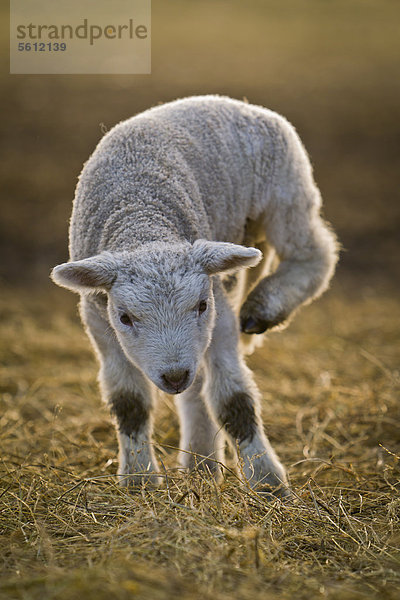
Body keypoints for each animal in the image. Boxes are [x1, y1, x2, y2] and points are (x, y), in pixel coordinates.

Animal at [50, 95, 338, 496]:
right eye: (125, 317)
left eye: (200, 305)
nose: (173, 376)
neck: (142, 222)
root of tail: (229, 101)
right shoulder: (99, 321)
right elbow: (129, 401)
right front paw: (139, 480)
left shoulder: (218, 313)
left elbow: (234, 399)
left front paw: (267, 481)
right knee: (196, 385)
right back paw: (201, 464)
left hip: (287, 193)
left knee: (314, 253)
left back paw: (264, 306)